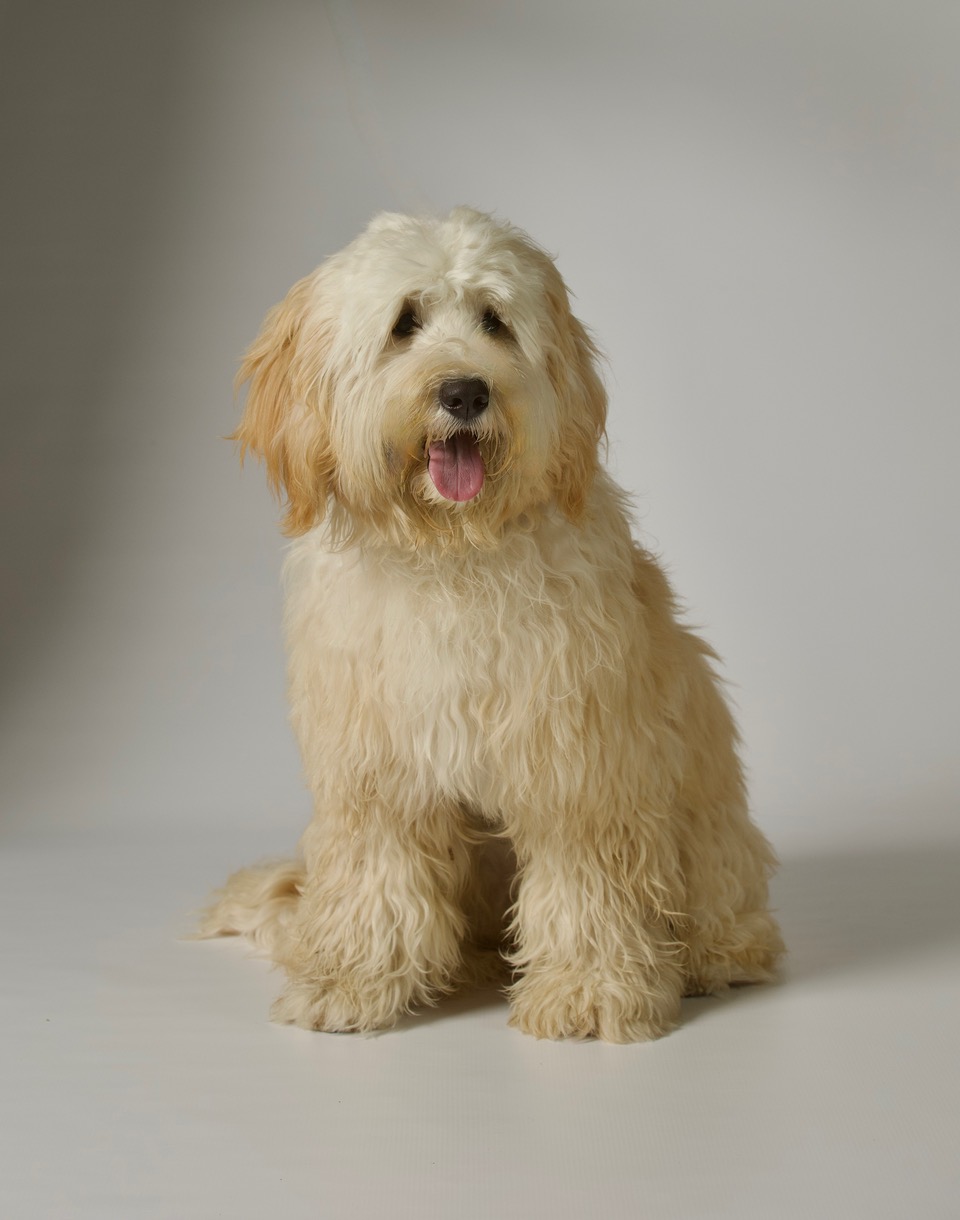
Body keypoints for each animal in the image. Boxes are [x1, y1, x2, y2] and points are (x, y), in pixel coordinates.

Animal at [198, 208, 784, 1042]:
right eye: (404, 323)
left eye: (495, 322)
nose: (465, 391)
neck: (452, 555)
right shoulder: (375, 766)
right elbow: (376, 871)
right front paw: (351, 981)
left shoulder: (578, 761)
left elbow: (584, 879)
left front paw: (586, 990)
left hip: (706, 827)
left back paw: (710, 957)